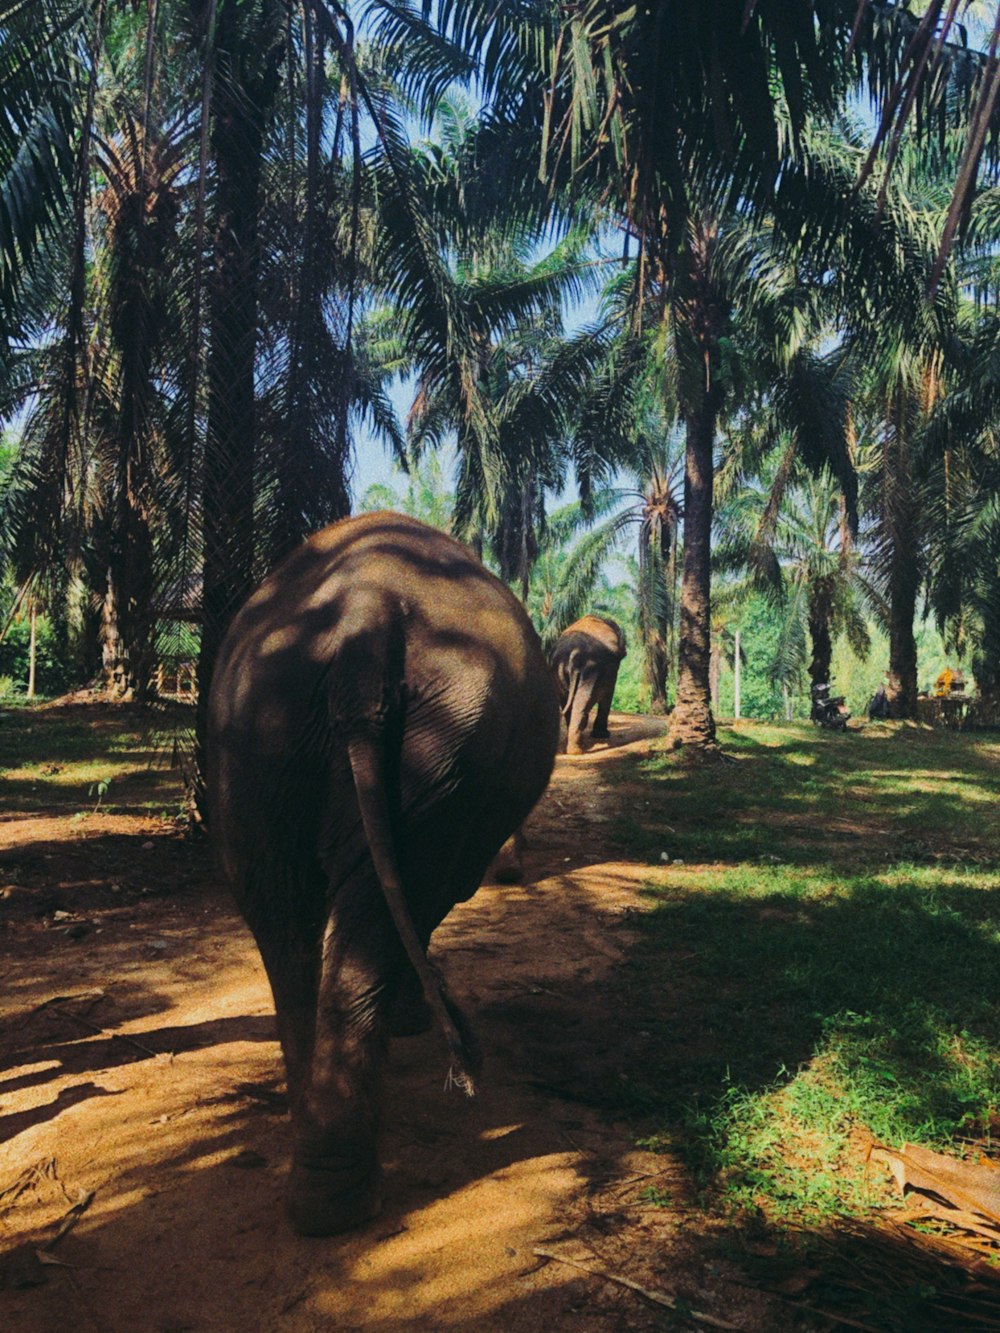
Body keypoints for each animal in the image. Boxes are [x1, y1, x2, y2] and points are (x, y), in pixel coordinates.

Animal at [209, 511, 565, 1237]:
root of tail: (364, 614)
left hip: (266, 723)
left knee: (282, 913)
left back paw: (314, 1174)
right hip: (440, 744)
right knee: (372, 908)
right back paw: (344, 1202)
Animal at [549, 610, 626, 751]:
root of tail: (575, 653)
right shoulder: (611, 667)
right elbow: (608, 693)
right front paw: (602, 735)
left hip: (558, 670)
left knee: (566, 699)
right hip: (592, 669)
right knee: (584, 700)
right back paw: (577, 750)